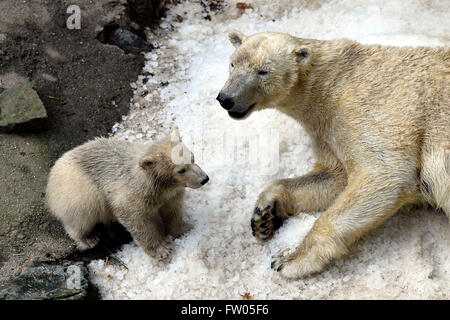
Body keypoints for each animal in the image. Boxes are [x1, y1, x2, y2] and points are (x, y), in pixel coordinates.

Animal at [216, 31, 448, 278]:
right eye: (232, 63)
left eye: (263, 71)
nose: (226, 98)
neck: (336, 80)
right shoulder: (324, 130)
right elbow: (334, 177)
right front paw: (264, 216)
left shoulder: (373, 109)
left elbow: (384, 173)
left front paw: (289, 259)